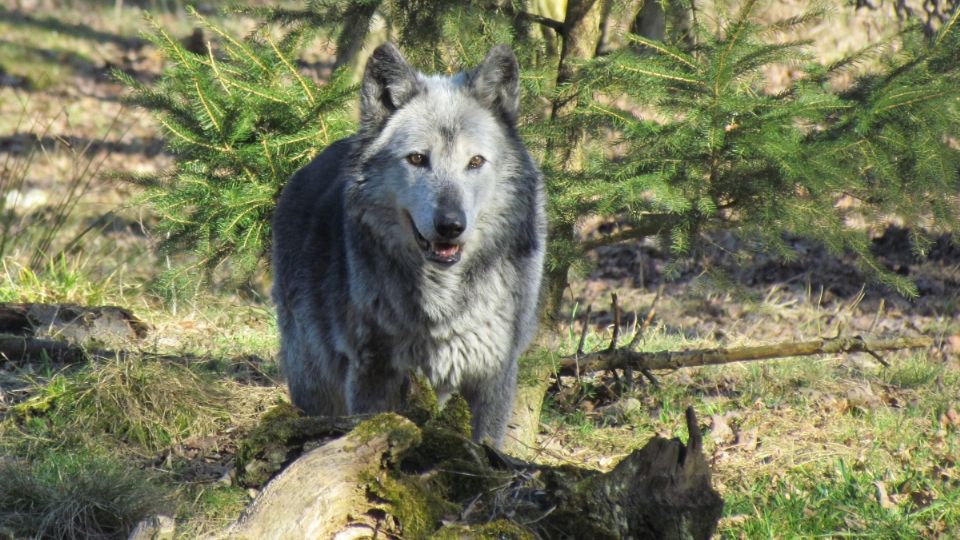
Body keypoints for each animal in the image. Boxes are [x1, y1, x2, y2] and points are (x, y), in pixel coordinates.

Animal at [272, 43, 548, 448]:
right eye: (418, 159)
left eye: (475, 161)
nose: (450, 226)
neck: (444, 299)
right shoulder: (373, 374)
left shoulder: (492, 374)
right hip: (313, 378)